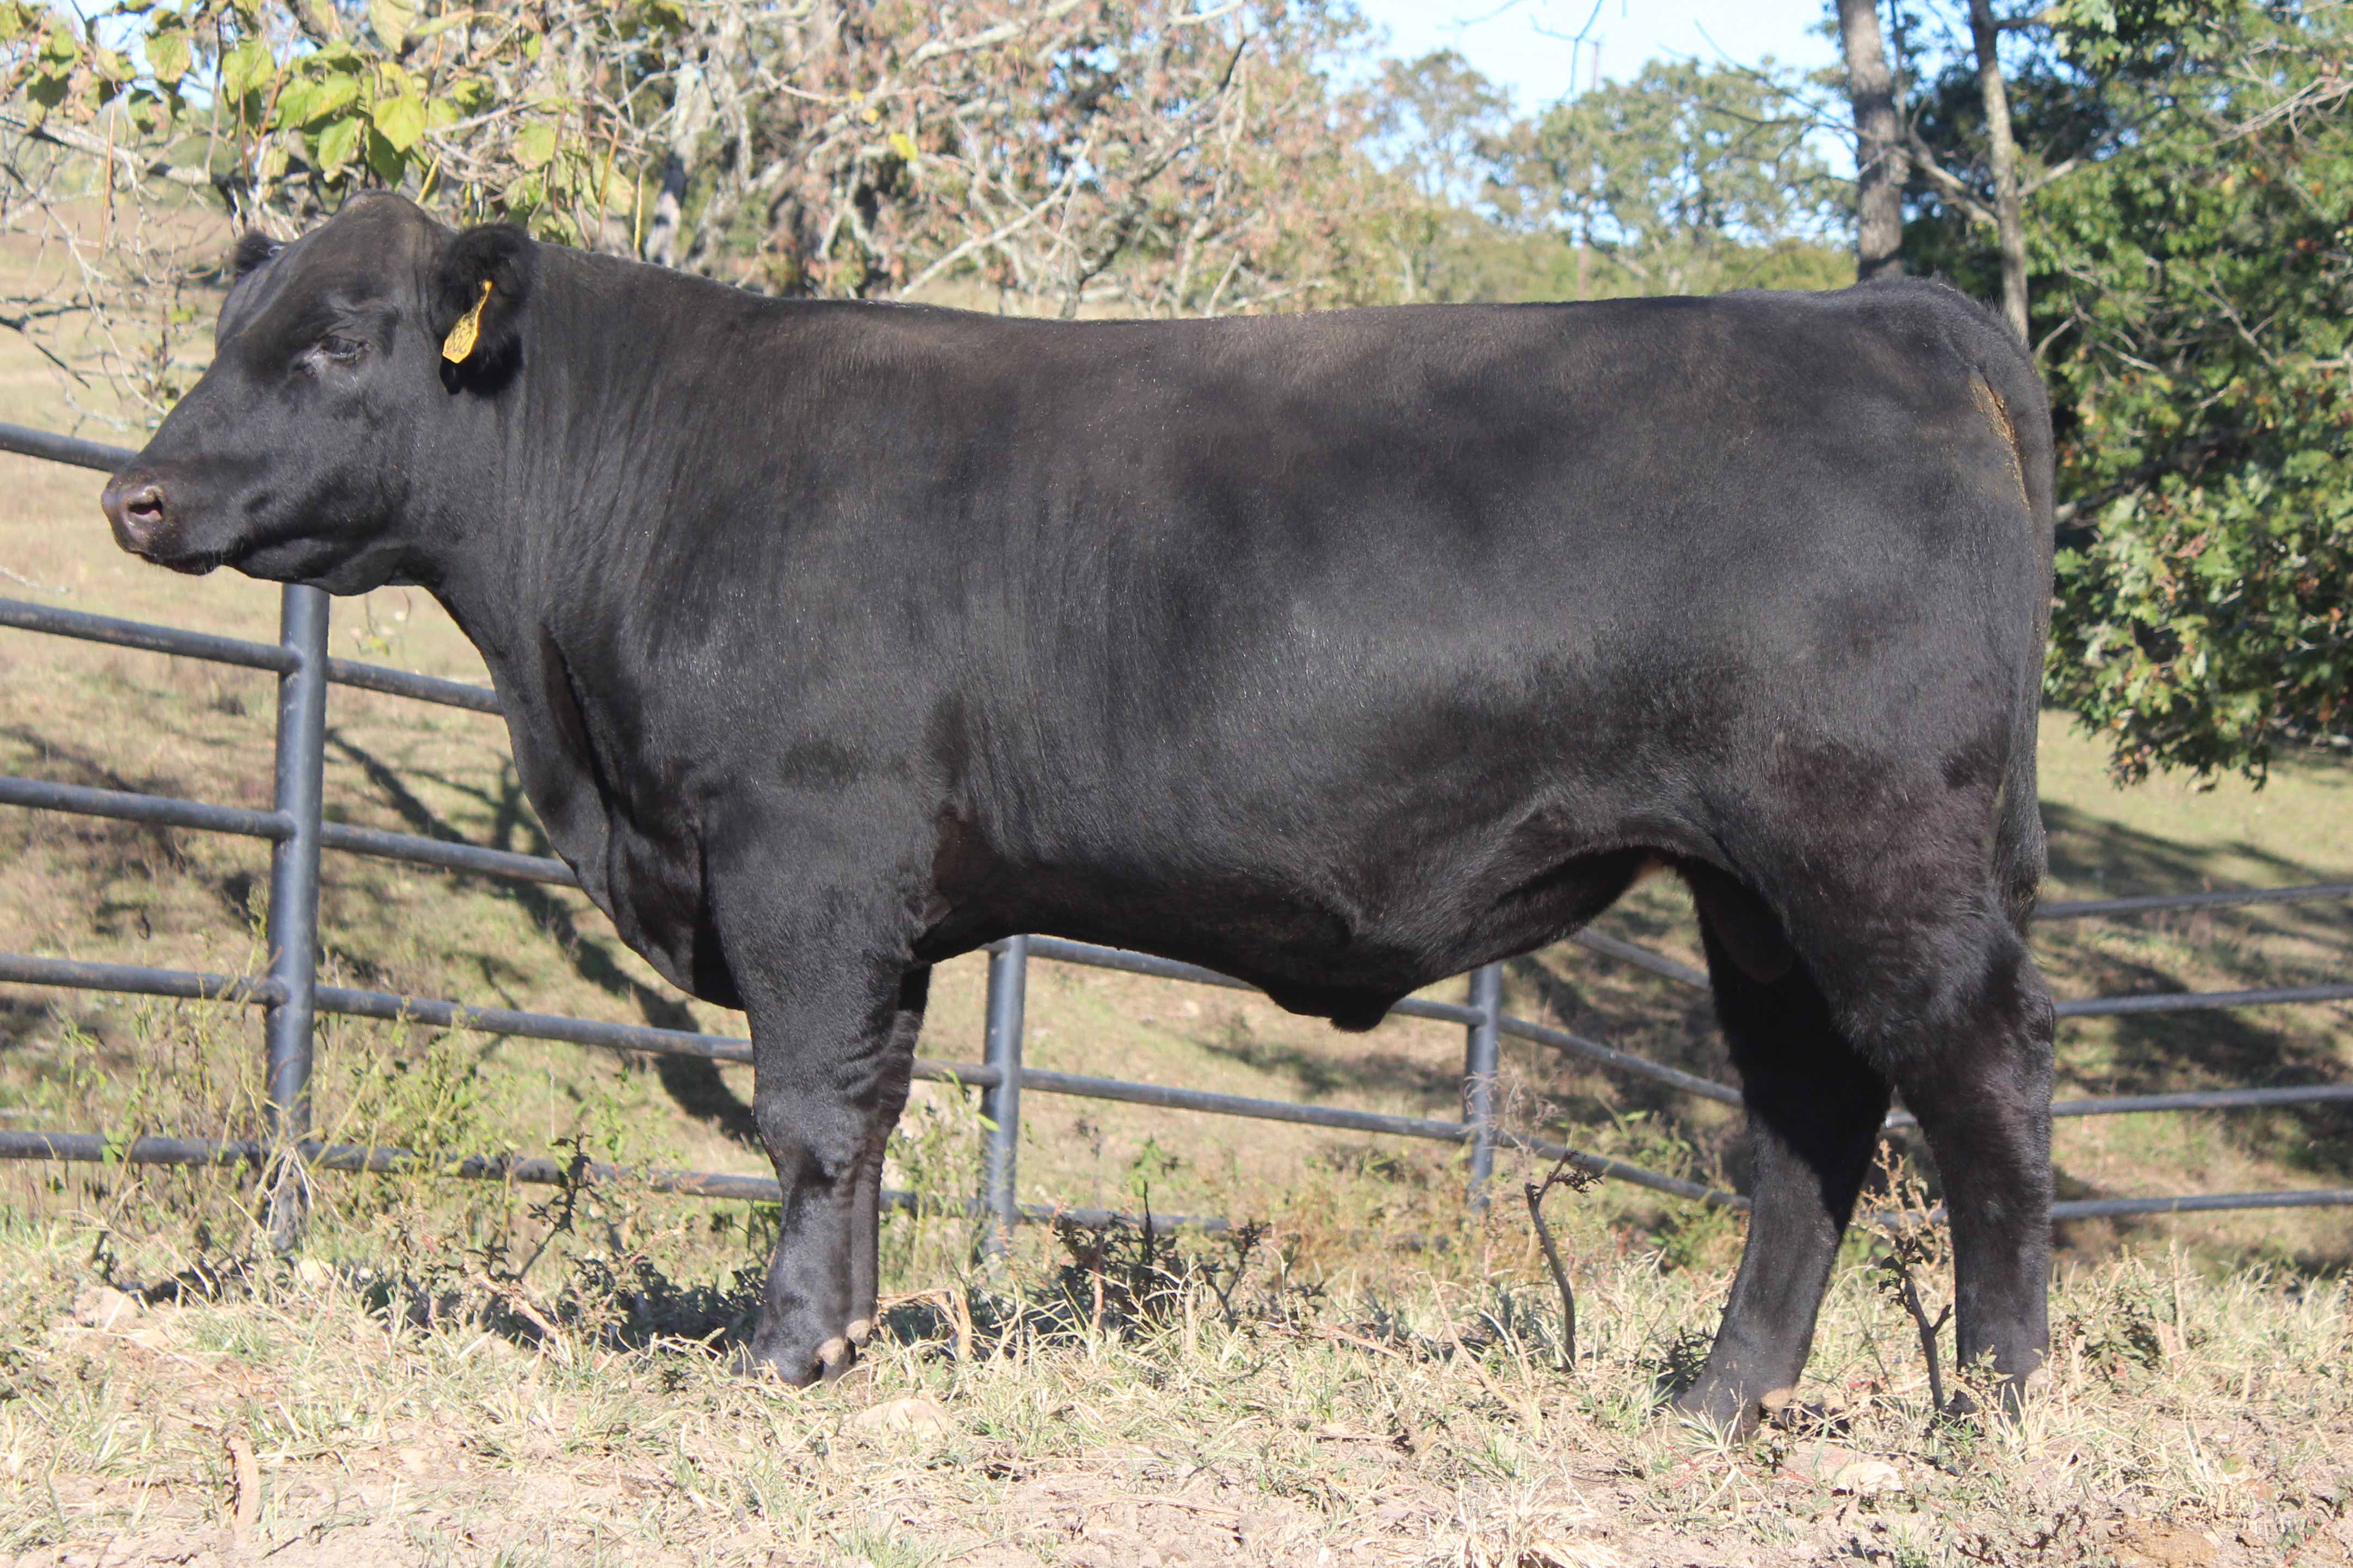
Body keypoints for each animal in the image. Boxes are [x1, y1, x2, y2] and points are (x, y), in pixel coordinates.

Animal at [100, 192, 2056, 1430]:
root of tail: (1881, 314)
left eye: (339, 343)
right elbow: (870, 1111)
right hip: (1754, 889)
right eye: (230, 329)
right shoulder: (869, 898)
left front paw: (774, 1354)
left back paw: (1991, 1404)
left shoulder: (802, 849)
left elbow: (807, 1111)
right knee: (1809, 1113)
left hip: (1869, 841)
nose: (137, 494)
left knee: (1978, 1088)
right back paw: (1721, 1398)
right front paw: (843, 1339)